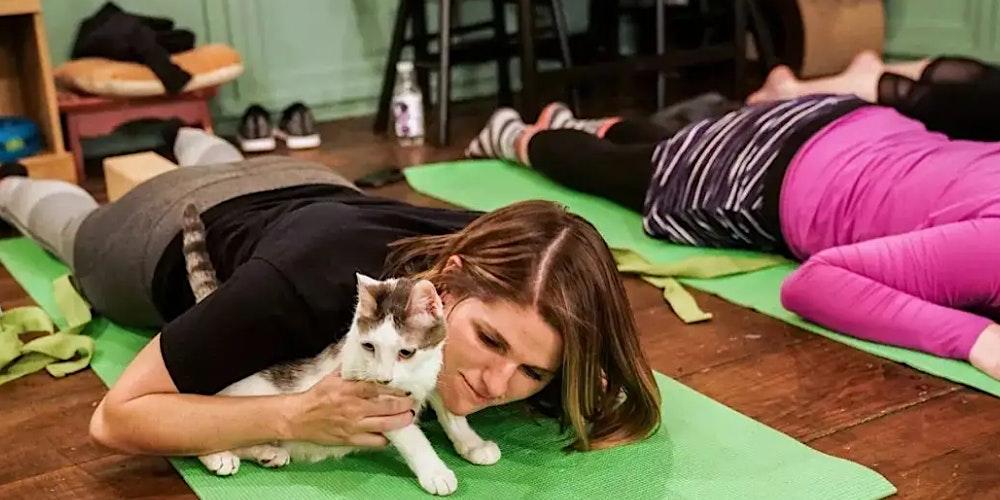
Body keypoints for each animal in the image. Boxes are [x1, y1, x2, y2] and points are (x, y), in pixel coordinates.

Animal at [178, 204, 500, 496]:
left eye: (405, 352)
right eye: (369, 347)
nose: (384, 378)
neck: (415, 378)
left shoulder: (432, 376)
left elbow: (452, 416)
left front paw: (473, 445)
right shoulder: (380, 405)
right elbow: (414, 438)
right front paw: (435, 472)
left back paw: (268, 453)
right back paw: (221, 456)